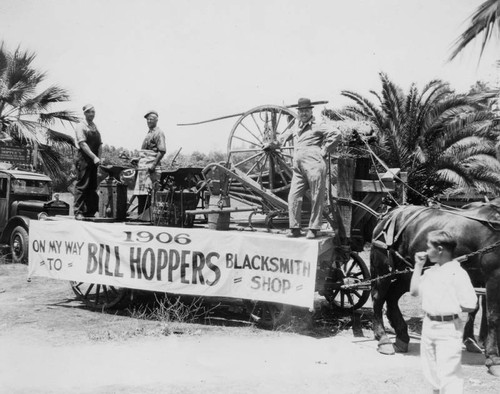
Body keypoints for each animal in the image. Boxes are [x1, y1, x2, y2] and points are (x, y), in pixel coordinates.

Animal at [370, 200, 500, 376]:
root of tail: (390, 213)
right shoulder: (494, 276)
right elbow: (494, 317)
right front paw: (493, 359)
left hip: (408, 273)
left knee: (392, 298)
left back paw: (402, 336)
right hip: (384, 269)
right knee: (378, 298)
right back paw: (383, 339)